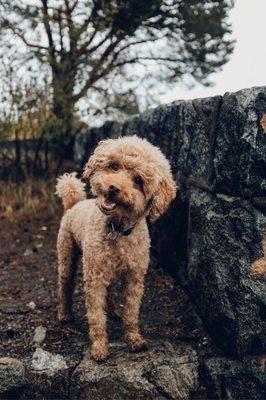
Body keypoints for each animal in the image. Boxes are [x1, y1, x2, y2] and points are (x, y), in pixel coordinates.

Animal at [55, 136, 177, 360]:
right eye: (113, 166)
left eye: (138, 180)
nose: (113, 188)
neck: (118, 230)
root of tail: (74, 203)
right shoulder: (94, 277)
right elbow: (96, 315)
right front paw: (99, 347)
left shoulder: (134, 278)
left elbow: (131, 312)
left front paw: (134, 339)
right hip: (67, 255)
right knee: (65, 286)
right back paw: (65, 314)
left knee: (109, 291)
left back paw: (112, 310)